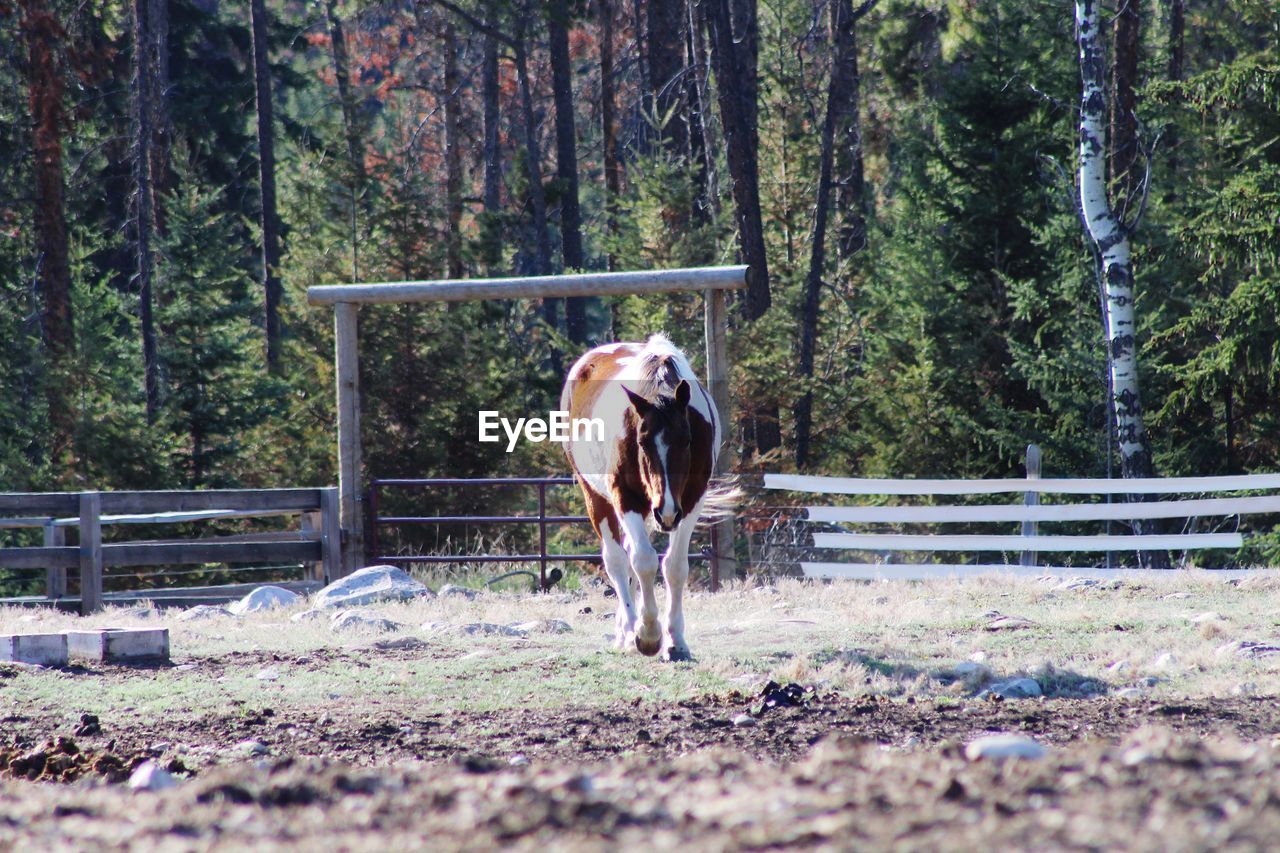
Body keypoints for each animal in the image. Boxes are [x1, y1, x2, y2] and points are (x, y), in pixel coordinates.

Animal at [560, 333, 721, 655]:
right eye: (642, 442)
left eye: (687, 440)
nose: (667, 512)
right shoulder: (626, 498)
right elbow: (643, 561)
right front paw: (647, 634)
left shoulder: (692, 500)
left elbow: (674, 566)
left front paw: (676, 639)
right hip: (597, 498)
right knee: (618, 560)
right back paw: (628, 632)